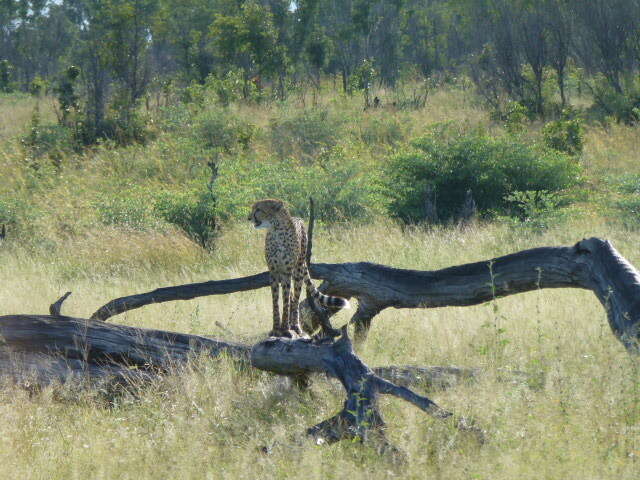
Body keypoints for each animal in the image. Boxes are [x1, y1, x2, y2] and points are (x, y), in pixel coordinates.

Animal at [249, 199, 350, 338]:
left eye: (258, 209)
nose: (249, 218)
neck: (276, 230)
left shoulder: (287, 271)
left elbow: (285, 301)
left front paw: (285, 329)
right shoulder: (274, 272)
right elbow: (275, 301)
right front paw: (275, 329)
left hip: (298, 271)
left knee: (295, 299)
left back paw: (295, 326)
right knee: (292, 298)